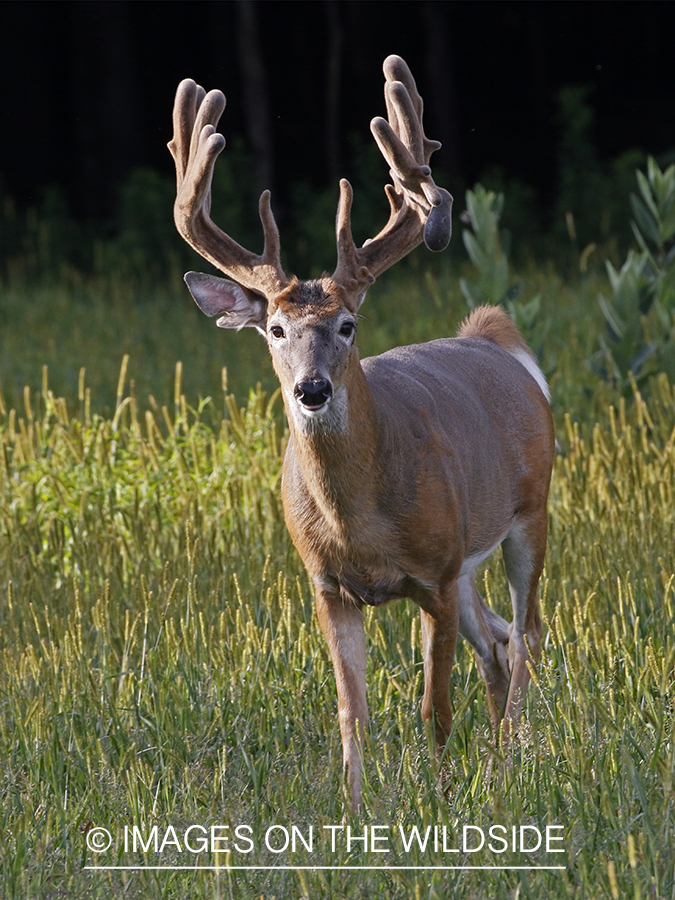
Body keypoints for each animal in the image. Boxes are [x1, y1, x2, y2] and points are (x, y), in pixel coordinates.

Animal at [168, 54, 556, 808]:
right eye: (275, 328)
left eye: (348, 325)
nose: (312, 389)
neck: (361, 526)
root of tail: (494, 338)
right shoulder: (327, 585)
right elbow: (353, 710)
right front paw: (353, 810)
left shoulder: (434, 575)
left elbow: (434, 707)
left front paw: (439, 801)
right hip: (470, 558)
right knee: (497, 642)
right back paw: (503, 763)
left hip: (529, 513)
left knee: (526, 634)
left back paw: (516, 766)